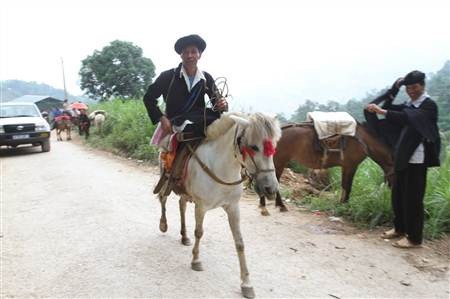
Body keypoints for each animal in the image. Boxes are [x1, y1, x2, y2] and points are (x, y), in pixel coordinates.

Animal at [156, 113, 280, 299]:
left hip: (185, 192)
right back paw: (163, 224)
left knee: (181, 205)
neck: (221, 168)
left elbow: (240, 243)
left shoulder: (233, 208)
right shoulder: (201, 206)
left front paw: (246, 283)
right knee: (163, 198)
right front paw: (196, 261)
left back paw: (184, 236)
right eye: (253, 147)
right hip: (166, 179)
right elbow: (199, 232)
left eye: (274, 148)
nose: (270, 189)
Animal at [260, 122, 394, 216]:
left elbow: (344, 186)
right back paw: (279, 205)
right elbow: (348, 188)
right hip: (279, 162)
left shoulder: (346, 167)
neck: (363, 140)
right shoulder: (351, 166)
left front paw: (341, 205)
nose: (389, 193)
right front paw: (345, 207)